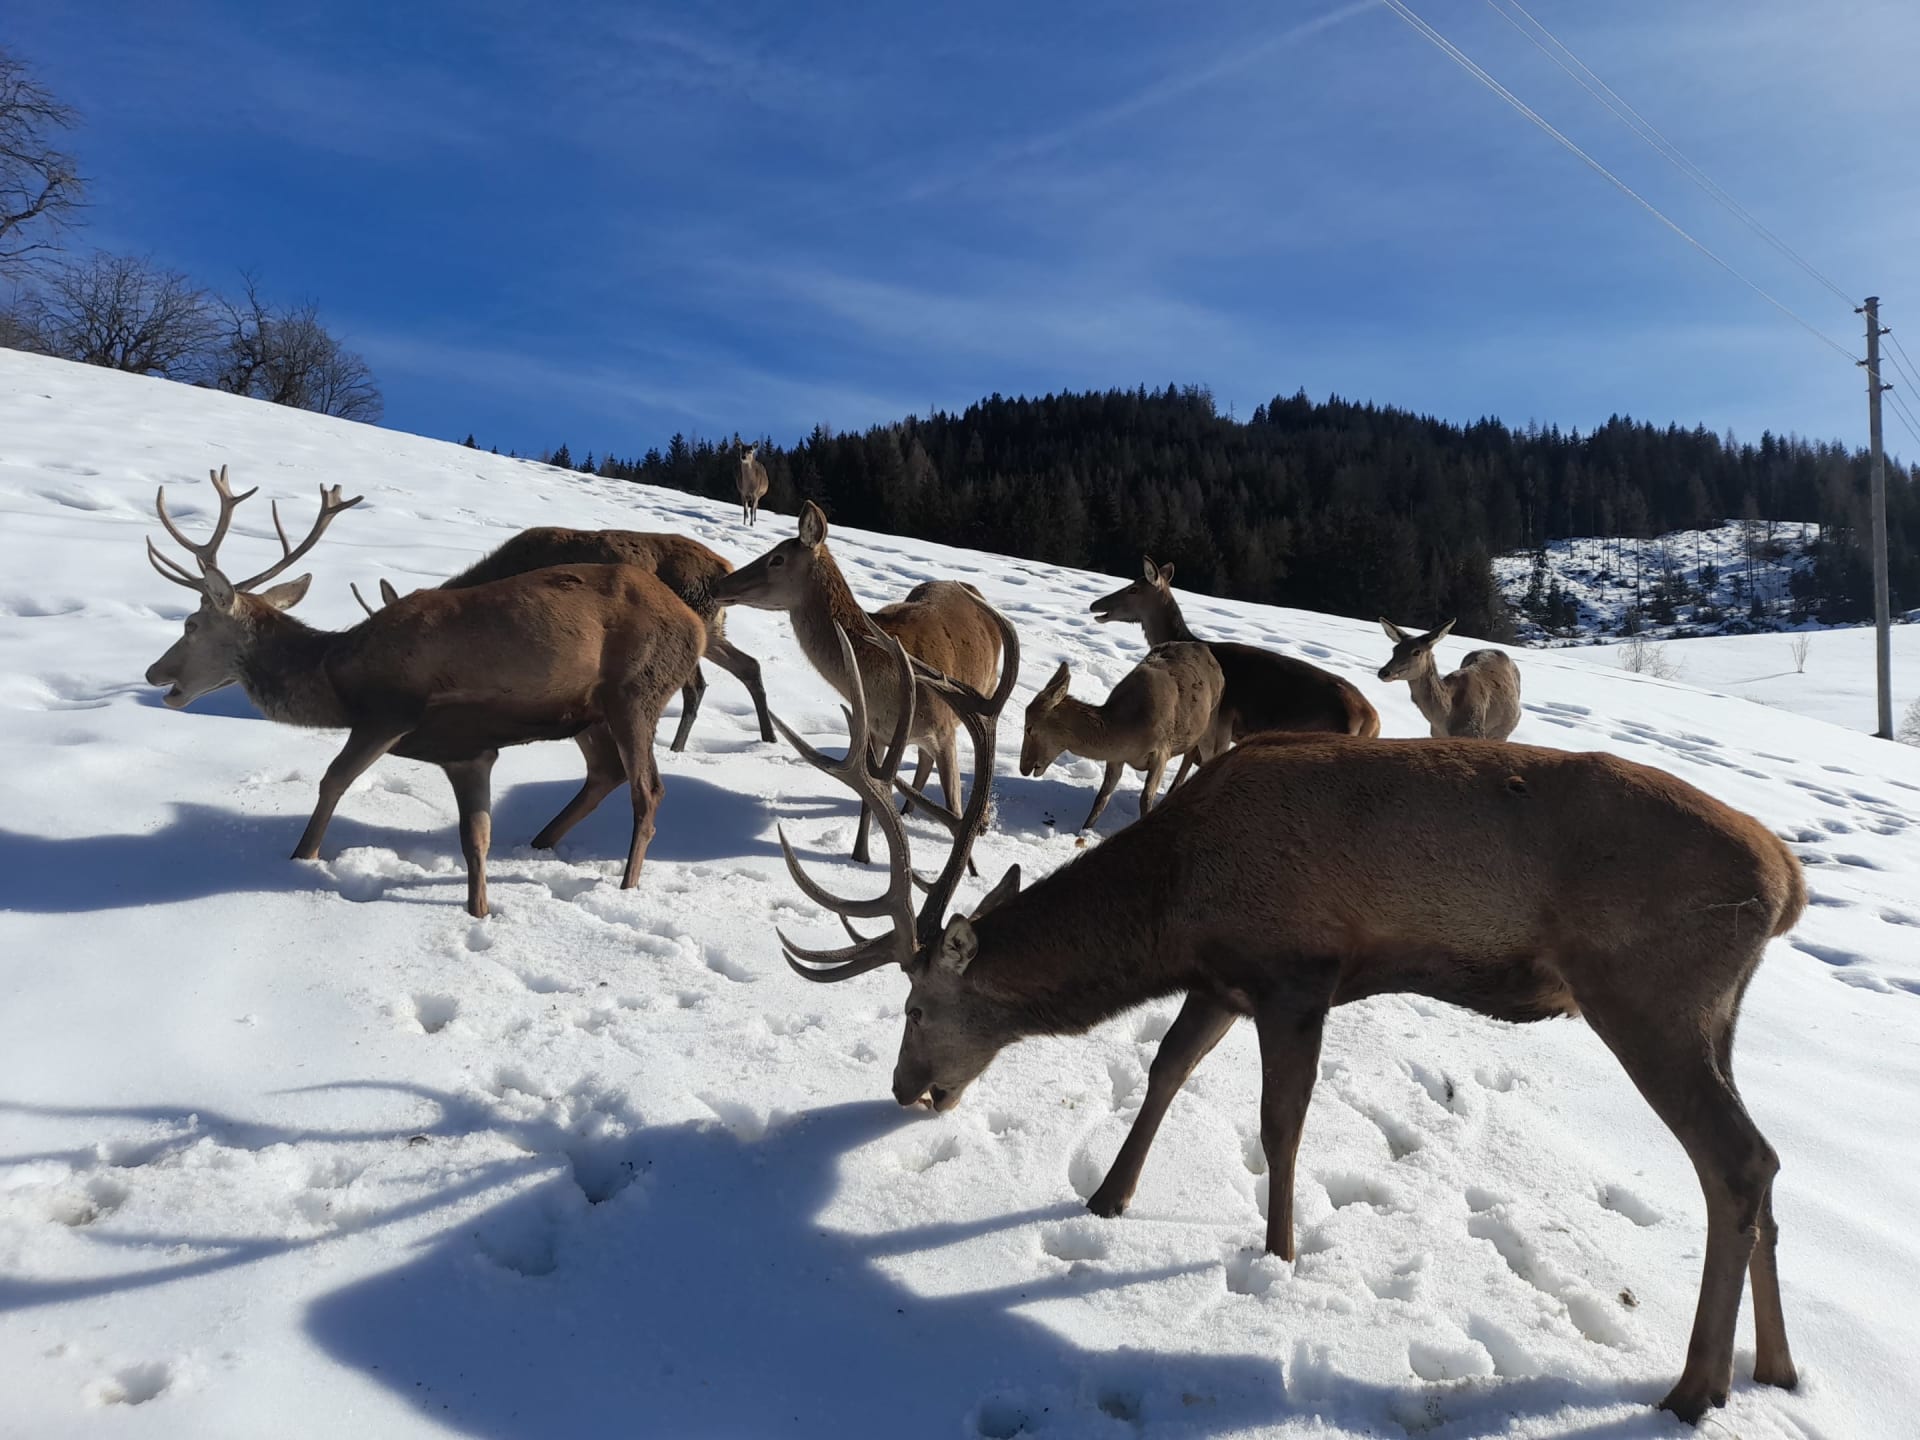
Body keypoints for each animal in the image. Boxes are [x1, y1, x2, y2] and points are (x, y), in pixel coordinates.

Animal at [142, 466, 705, 918]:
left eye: (191, 624)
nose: (153, 673)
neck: (339, 678)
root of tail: (696, 626)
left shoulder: (388, 713)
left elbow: (333, 781)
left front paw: (301, 859)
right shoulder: (468, 750)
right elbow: (476, 836)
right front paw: (480, 911)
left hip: (636, 690)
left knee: (647, 790)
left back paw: (626, 885)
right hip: (587, 713)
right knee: (605, 772)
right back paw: (539, 844)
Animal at [710, 500, 1010, 862]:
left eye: (777, 558)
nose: (718, 585)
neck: (883, 684)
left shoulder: (943, 730)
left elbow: (954, 807)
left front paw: (971, 865)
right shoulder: (875, 733)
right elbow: (869, 803)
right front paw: (860, 856)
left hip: (985, 691)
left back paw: (974, 820)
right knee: (922, 762)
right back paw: (909, 810)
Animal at [1018, 644, 1224, 830]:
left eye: (1029, 728)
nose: (1023, 768)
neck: (1129, 730)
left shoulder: (1162, 751)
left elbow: (1146, 797)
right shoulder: (1116, 758)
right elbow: (1102, 797)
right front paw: (1084, 830)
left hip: (1210, 723)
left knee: (1209, 757)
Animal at [1377, 618, 1522, 740]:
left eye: (1417, 651)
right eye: (1395, 649)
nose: (1383, 672)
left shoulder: (1475, 732)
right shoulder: (1435, 734)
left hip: (1504, 731)